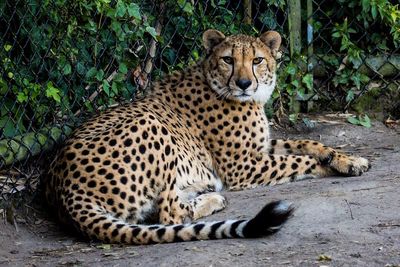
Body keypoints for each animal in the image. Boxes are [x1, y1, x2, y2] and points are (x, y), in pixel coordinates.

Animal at [45, 29, 370, 245]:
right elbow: (300, 161)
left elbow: (309, 144)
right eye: (228, 59)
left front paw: (348, 159)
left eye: (257, 60)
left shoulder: (261, 147)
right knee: (170, 215)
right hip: (149, 122)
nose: (244, 83)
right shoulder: (241, 166)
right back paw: (212, 197)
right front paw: (332, 166)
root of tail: (63, 189)